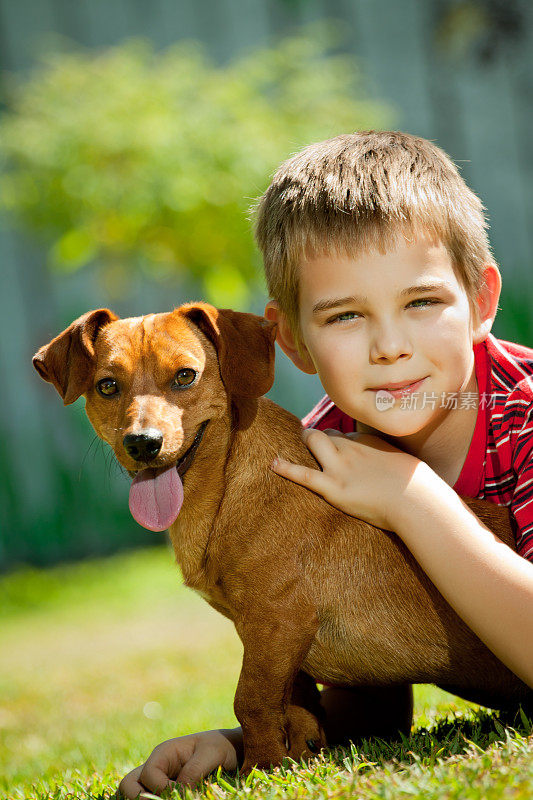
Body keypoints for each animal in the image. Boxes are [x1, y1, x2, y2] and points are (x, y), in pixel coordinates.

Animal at [33, 304, 528, 772]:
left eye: (185, 376)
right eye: (107, 386)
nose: (142, 443)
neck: (226, 487)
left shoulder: (277, 620)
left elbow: (250, 701)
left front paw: (260, 768)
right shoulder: (276, 640)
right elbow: (295, 703)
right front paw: (299, 757)